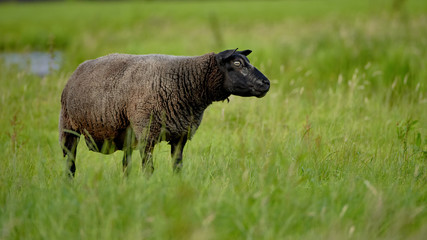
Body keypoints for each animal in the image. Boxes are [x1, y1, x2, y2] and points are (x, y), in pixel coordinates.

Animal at [59, 48, 270, 176]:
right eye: (237, 64)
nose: (266, 83)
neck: (186, 83)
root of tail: (79, 68)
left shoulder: (180, 135)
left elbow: (177, 166)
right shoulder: (147, 133)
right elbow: (148, 169)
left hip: (126, 133)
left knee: (125, 165)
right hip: (69, 128)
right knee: (70, 165)